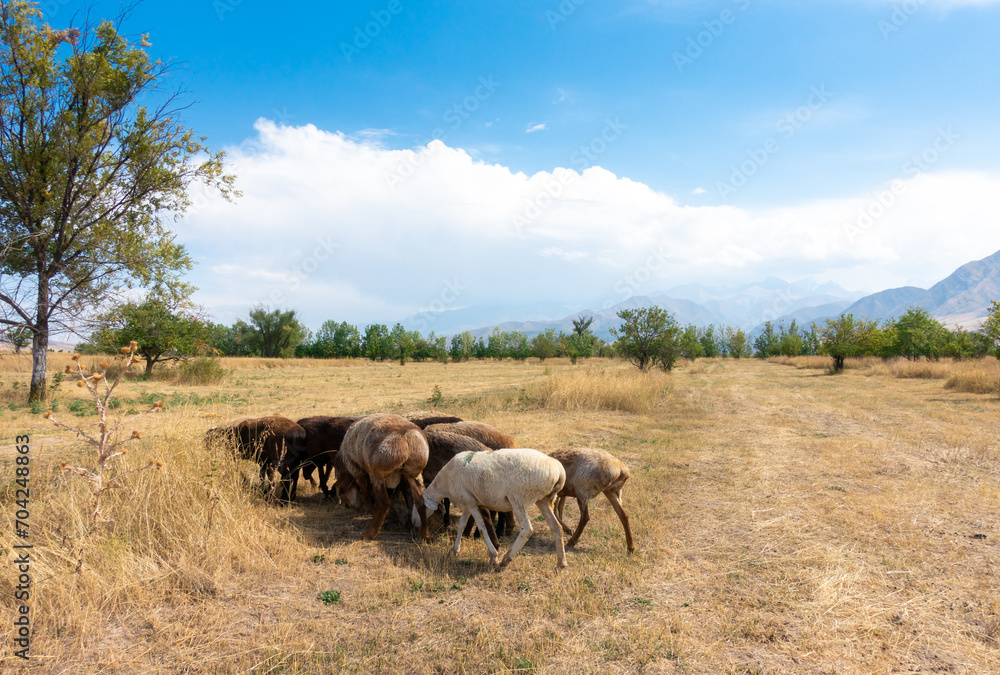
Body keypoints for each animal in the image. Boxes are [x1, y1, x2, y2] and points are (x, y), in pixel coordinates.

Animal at [420, 448, 568, 572]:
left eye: (420, 507)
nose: (416, 525)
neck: (444, 483)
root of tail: (559, 470)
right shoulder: (469, 502)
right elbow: (461, 525)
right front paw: (454, 550)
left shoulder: (471, 504)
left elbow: (481, 527)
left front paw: (493, 556)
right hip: (544, 500)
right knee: (557, 527)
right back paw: (561, 562)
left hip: (518, 498)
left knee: (527, 530)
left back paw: (506, 559)